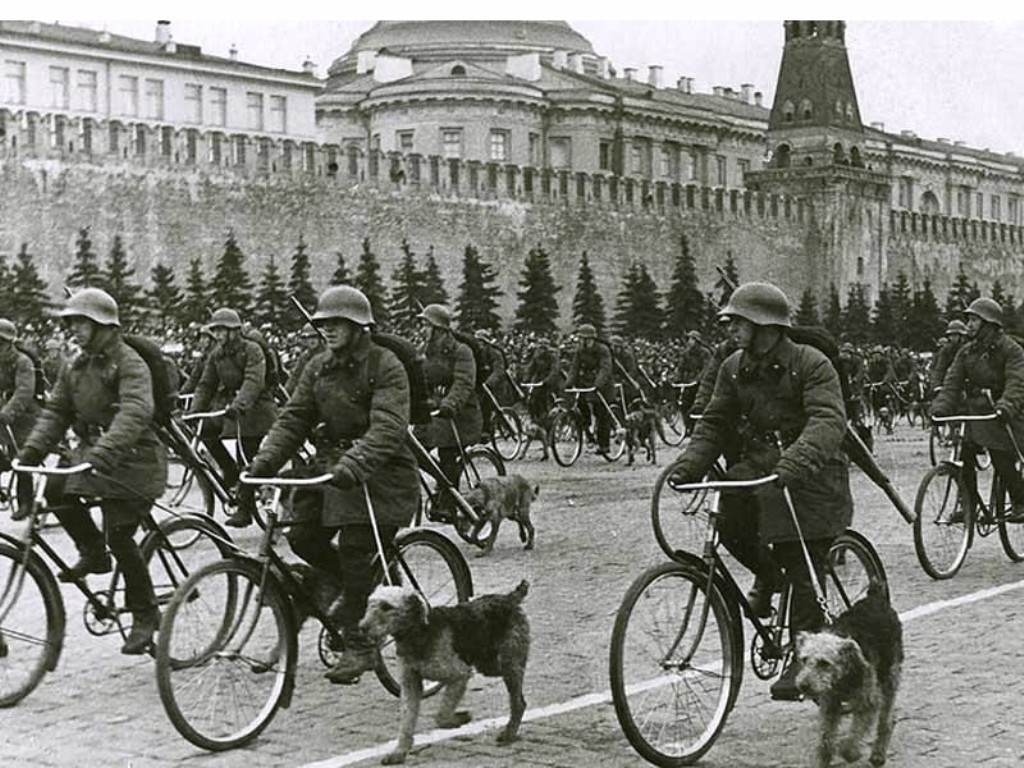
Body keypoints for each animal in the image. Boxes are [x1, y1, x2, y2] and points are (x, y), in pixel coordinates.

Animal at [360, 581, 532, 765]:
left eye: (387, 606)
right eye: (369, 603)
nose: (362, 627)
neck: (418, 633)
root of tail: (510, 599)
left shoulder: (459, 674)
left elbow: (441, 715)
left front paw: (459, 719)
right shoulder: (410, 684)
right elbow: (406, 723)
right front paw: (398, 753)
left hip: (507, 663)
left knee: (518, 702)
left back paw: (509, 733)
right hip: (489, 665)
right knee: (519, 697)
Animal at [794, 581, 901, 768]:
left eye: (825, 663)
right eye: (804, 659)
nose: (804, 686)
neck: (843, 677)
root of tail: (874, 596)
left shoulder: (868, 702)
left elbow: (855, 734)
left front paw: (850, 753)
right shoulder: (829, 704)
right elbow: (825, 737)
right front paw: (824, 758)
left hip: (889, 677)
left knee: (887, 721)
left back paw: (878, 753)